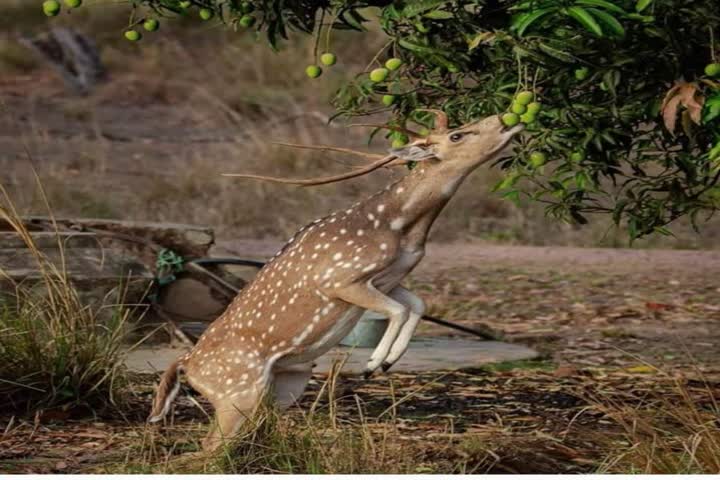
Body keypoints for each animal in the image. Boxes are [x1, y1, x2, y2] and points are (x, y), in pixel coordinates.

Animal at [148, 109, 524, 450]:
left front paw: (389, 361)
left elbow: (417, 304)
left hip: (282, 385)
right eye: (457, 135)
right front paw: (374, 364)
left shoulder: (388, 277)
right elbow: (399, 310)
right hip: (237, 391)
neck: (401, 228)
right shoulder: (340, 279)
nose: (504, 118)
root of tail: (186, 365)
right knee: (209, 448)